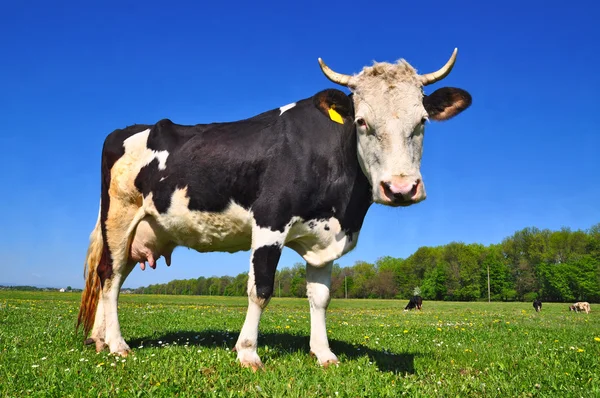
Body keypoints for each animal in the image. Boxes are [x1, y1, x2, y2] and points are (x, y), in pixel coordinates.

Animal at [75, 49, 472, 370]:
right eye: (361, 121)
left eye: (422, 121)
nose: (401, 188)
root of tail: (127, 130)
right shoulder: (270, 222)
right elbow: (261, 289)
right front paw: (248, 353)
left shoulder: (324, 237)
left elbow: (321, 297)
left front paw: (324, 353)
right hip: (119, 217)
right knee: (110, 277)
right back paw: (117, 344)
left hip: (141, 230)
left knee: (111, 275)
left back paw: (98, 339)